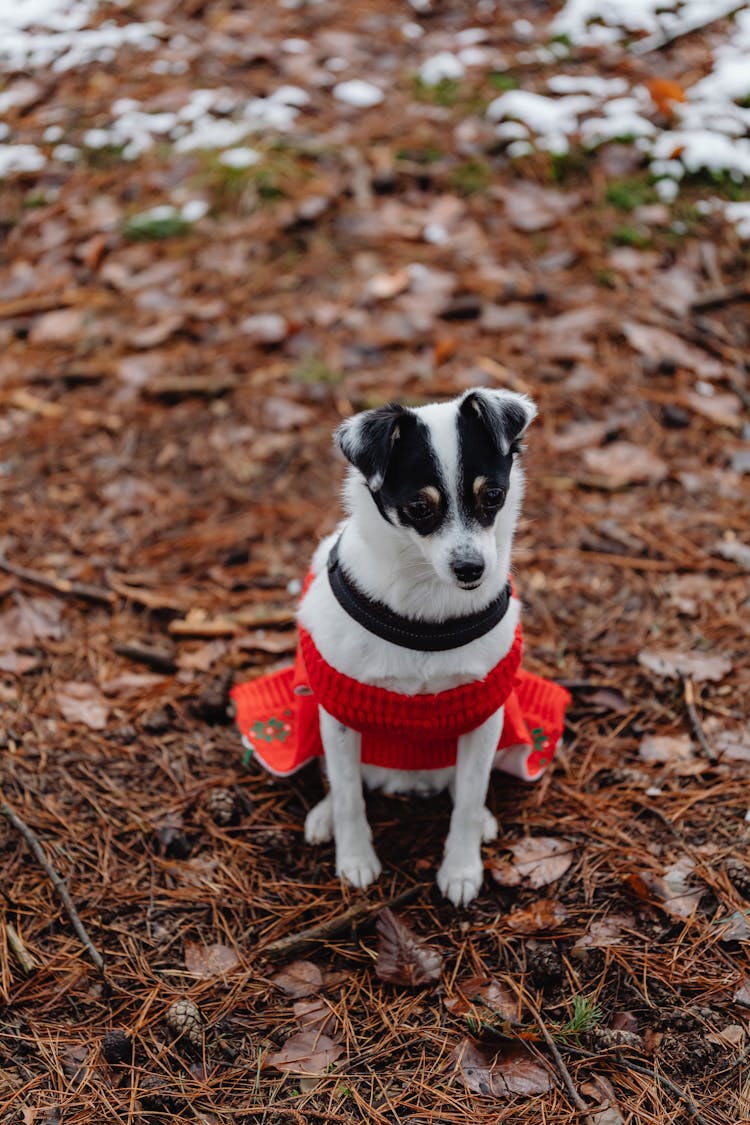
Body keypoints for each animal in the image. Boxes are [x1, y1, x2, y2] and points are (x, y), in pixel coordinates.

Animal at [296, 387, 537, 904]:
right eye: (418, 508)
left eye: (493, 496)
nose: (471, 569)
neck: (427, 606)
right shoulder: (340, 713)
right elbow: (348, 795)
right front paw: (355, 859)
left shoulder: (484, 712)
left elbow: (469, 797)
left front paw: (462, 868)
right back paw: (324, 816)